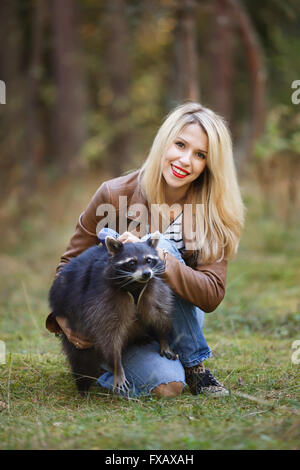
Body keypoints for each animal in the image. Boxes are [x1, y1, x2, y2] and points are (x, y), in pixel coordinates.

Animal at [48, 233, 176, 394]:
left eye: (148, 260)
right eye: (132, 262)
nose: (146, 274)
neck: (135, 284)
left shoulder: (154, 289)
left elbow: (160, 314)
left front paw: (164, 339)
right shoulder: (102, 299)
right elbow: (108, 337)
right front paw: (117, 367)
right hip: (71, 318)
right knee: (80, 357)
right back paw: (82, 381)